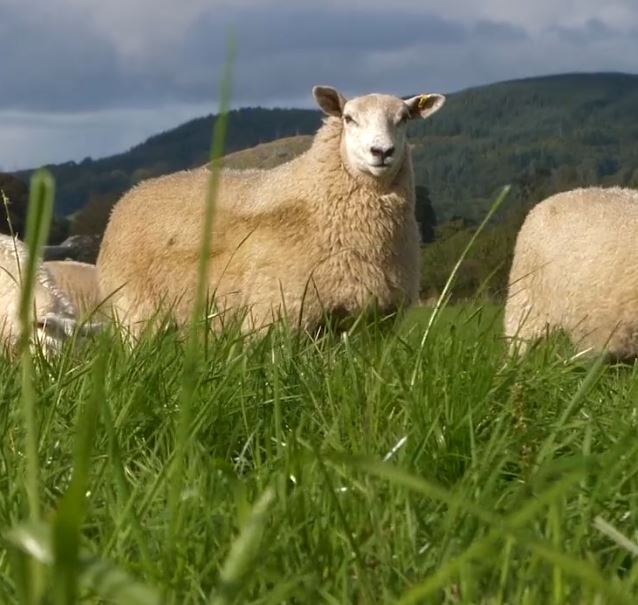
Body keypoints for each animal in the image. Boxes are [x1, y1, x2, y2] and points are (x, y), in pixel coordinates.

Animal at [97, 86, 448, 336]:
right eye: (349, 118)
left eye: (404, 118)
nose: (382, 151)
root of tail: (128, 198)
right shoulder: (278, 314)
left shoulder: (372, 321)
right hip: (135, 313)